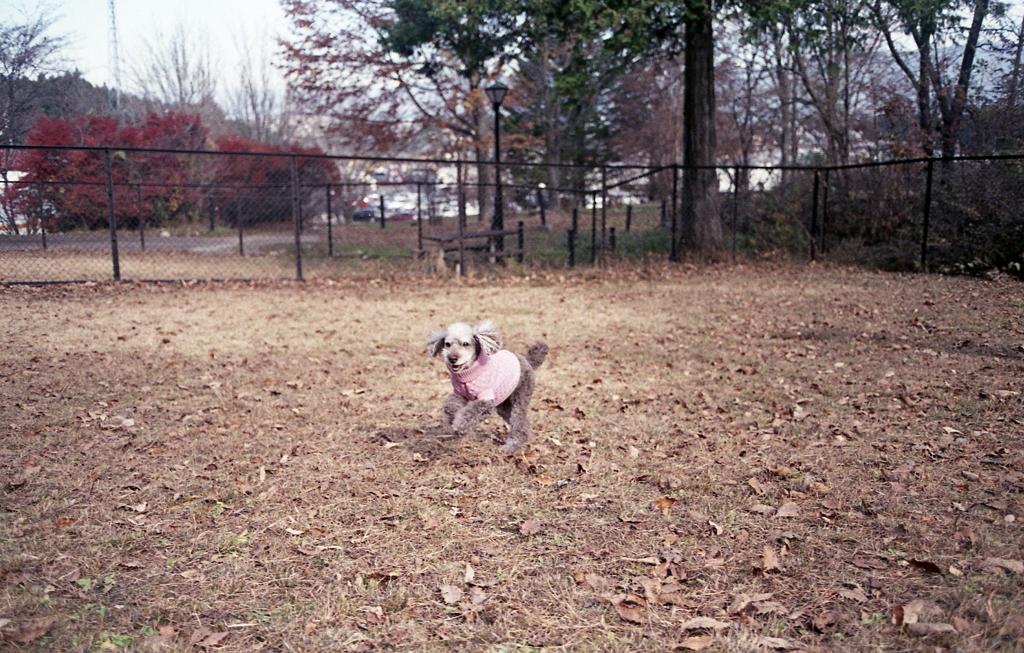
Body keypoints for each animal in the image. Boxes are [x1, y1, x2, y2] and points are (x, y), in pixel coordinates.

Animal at [428, 323, 548, 454]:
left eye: (465, 344)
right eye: (448, 344)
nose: (452, 358)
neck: (468, 373)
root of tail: (527, 361)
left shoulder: (486, 401)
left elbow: (470, 413)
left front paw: (459, 426)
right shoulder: (459, 393)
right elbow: (449, 406)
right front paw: (451, 421)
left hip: (521, 396)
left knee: (518, 422)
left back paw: (511, 446)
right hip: (504, 404)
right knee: (523, 423)